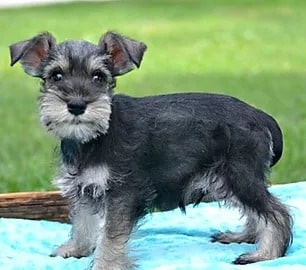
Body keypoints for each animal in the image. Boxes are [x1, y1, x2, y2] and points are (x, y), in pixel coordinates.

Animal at [9, 31, 292, 268]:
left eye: (98, 77)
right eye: (56, 76)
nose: (77, 105)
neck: (96, 137)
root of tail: (259, 115)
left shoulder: (122, 194)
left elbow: (110, 236)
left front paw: (105, 265)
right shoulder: (84, 189)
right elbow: (82, 222)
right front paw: (75, 249)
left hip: (239, 175)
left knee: (275, 213)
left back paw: (264, 254)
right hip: (229, 179)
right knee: (257, 213)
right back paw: (243, 236)